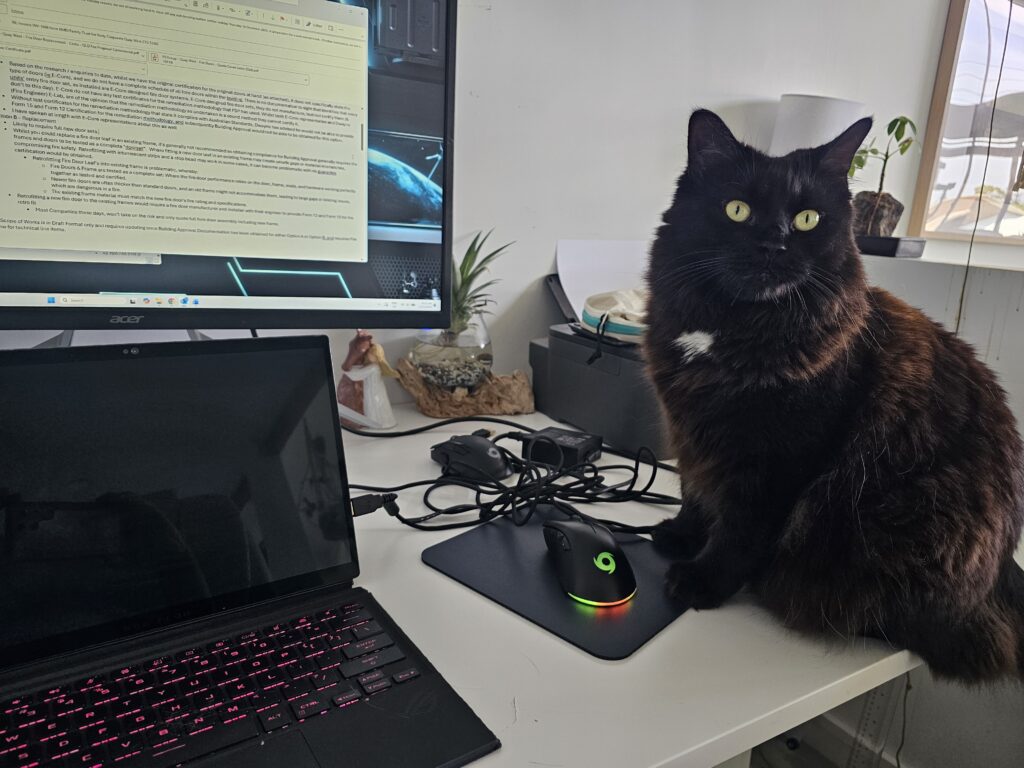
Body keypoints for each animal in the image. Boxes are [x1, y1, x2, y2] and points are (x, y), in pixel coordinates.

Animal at [643, 109, 1024, 682]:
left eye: (807, 220)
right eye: (737, 210)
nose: (773, 245)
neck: (735, 331)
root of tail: (1003, 577)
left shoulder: (780, 459)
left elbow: (740, 528)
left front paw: (703, 580)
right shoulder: (690, 429)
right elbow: (694, 492)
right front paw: (682, 534)